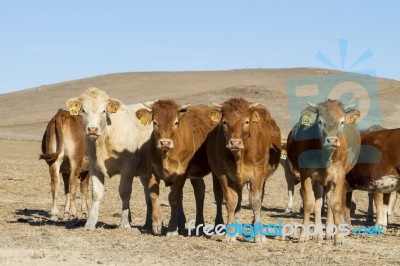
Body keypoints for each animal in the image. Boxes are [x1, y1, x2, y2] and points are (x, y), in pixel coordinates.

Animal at [65, 88, 153, 230]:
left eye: (103, 111)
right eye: (83, 110)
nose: (92, 129)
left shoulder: (128, 166)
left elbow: (124, 191)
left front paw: (124, 223)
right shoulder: (94, 167)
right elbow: (96, 193)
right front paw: (90, 223)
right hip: (144, 173)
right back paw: (148, 224)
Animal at [134, 99, 222, 235]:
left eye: (175, 122)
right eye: (155, 122)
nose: (165, 142)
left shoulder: (182, 172)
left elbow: (174, 197)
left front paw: (172, 229)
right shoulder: (152, 170)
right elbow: (153, 194)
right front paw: (157, 224)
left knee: (218, 194)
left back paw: (219, 224)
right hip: (195, 174)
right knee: (199, 193)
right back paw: (198, 225)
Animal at [205, 98, 280, 243]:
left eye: (246, 121)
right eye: (224, 122)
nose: (235, 143)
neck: (239, 157)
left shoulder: (258, 174)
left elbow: (255, 201)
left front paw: (259, 235)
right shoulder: (224, 175)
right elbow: (231, 201)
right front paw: (230, 234)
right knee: (230, 199)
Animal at [286, 98, 360, 244]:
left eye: (342, 121)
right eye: (320, 122)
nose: (332, 140)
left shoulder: (339, 175)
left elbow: (335, 204)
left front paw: (339, 237)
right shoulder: (306, 174)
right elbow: (309, 203)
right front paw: (303, 235)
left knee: (329, 202)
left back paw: (329, 232)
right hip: (318, 180)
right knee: (318, 202)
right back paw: (318, 233)